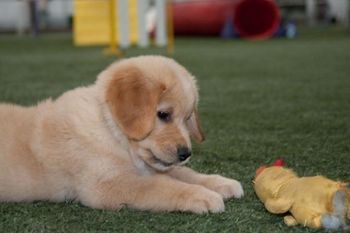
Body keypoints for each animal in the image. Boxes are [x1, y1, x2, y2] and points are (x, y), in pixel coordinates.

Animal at [0, 55, 243, 213]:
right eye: (163, 114)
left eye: (187, 119)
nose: (185, 154)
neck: (110, 130)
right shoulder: (107, 185)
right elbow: (160, 186)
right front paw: (201, 195)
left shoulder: (150, 167)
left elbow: (185, 174)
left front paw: (221, 183)